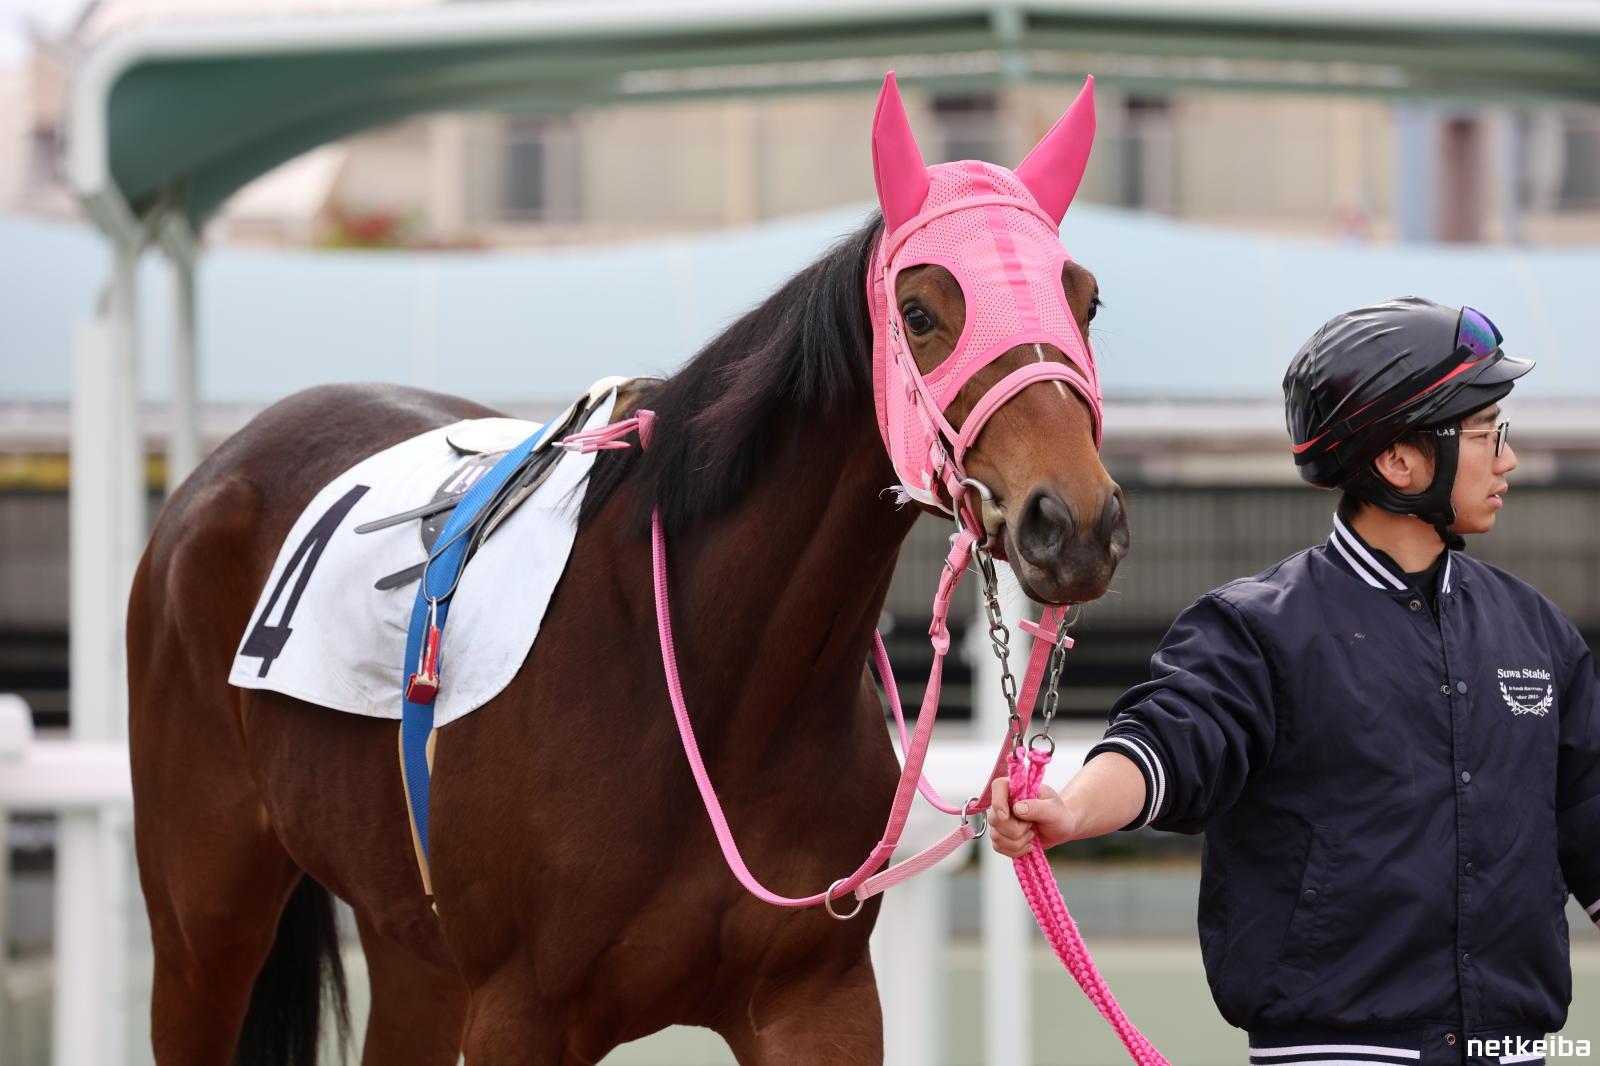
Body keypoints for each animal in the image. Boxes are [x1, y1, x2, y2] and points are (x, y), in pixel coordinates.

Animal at [126, 74, 1128, 1065]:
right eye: (920, 314)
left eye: (1085, 300)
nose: (1073, 522)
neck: (711, 685)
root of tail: (216, 473)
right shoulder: (521, 1011)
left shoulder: (818, 999)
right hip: (201, 927)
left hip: (411, 945)